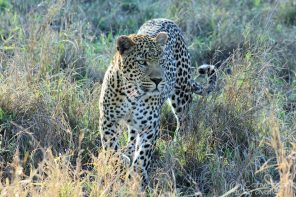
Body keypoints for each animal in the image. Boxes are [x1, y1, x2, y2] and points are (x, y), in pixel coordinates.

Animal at [99, 18, 215, 189]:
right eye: (142, 62)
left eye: (162, 61)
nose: (158, 80)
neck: (132, 94)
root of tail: (164, 19)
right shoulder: (108, 120)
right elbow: (111, 150)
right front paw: (118, 166)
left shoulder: (150, 126)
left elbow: (142, 157)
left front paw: (136, 180)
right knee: (132, 133)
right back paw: (128, 151)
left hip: (181, 94)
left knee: (184, 121)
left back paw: (177, 145)